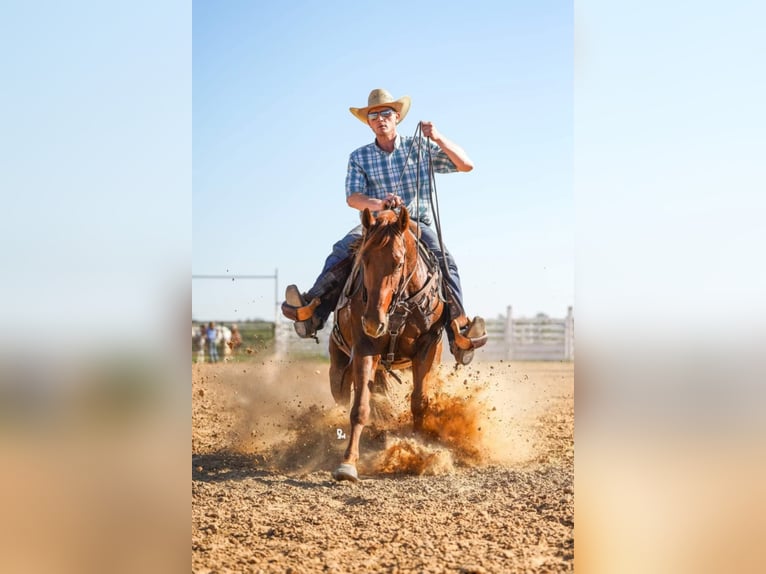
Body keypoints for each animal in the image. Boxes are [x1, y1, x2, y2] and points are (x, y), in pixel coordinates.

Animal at [328, 207, 448, 482]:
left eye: (398, 262)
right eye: (364, 259)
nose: (373, 321)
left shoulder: (428, 348)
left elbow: (419, 402)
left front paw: (419, 448)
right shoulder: (365, 347)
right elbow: (360, 406)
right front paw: (348, 463)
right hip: (338, 367)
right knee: (345, 397)